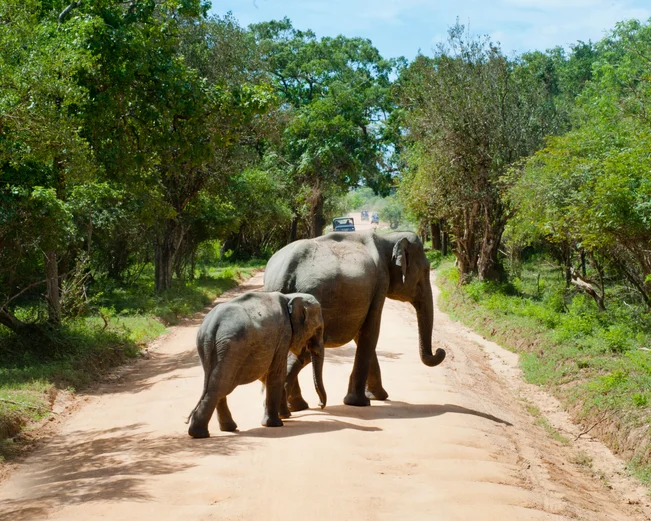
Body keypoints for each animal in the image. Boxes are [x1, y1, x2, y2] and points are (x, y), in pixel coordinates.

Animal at [187, 291, 326, 438]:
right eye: (318, 329)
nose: (320, 405)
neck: (289, 297)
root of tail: (212, 325)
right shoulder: (284, 334)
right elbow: (276, 373)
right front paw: (275, 424)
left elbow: (267, 373)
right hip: (232, 347)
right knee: (220, 386)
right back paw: (200, 434)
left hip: (210, 345)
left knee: (218, 383)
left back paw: (224, 429)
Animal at [263, 231, 446, 411]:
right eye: (426, 270)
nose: (440, 351)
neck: (387, 238)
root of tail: (281, 274)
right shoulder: (380, 281)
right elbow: (371, 331)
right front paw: (360, 402)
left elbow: (362, 334)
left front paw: (377, 396)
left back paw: (296, 407)